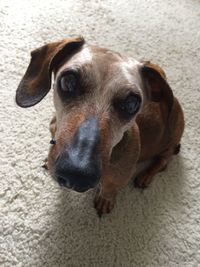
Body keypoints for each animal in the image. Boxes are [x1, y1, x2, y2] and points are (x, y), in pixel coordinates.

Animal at [15, 36, 184, 216]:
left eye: (132, 103)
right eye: (68, 81)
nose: (77, 175)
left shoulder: (120, 177)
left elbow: (109, 188)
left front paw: (105, 199)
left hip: (169, 143)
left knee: (164, 161)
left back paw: (146, 175)